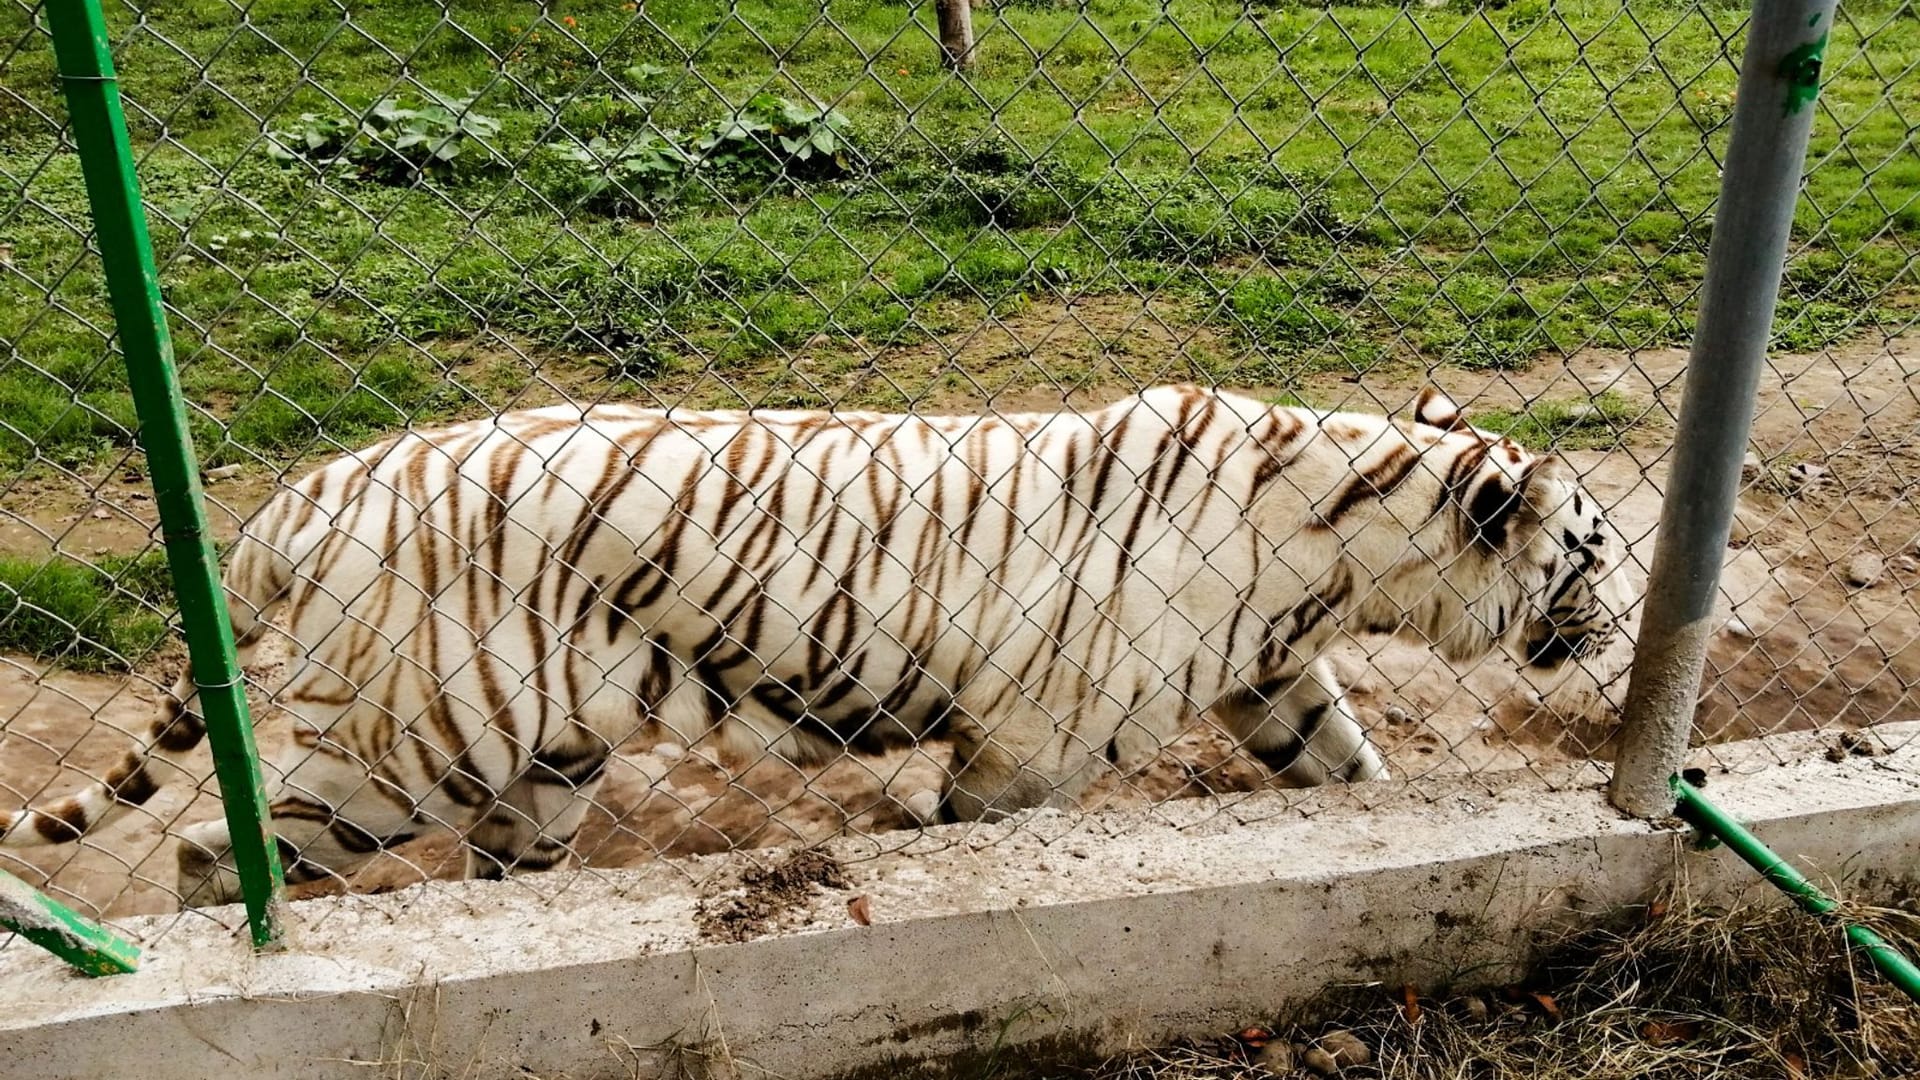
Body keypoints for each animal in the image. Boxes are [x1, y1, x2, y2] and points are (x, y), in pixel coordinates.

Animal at [2, 385, 1632, 907]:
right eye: (1598, 549)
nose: (1623, 623)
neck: (1344, 550)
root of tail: (309, 488)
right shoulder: (1033, 745)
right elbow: (975, 833)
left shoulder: (1271, 675)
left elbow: (1347, 775)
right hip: (413, 742)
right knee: (215, 854)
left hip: (543, 760)